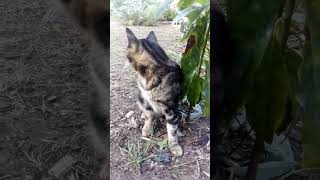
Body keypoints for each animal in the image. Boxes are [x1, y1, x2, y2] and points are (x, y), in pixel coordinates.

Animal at [126, 28, 184, 156]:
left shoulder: (171, 109)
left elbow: (172, 131)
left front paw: (174, 146)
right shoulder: (145, 100)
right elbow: (149, 116)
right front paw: (147, 129)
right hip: (140, 97)